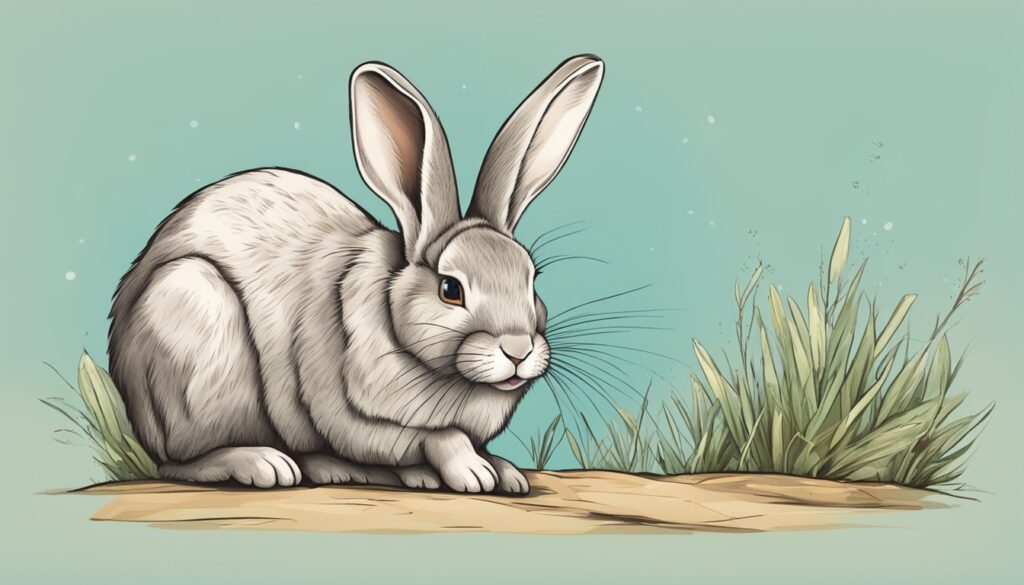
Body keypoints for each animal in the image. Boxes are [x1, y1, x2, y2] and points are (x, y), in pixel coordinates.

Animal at [107, 54, 604, 494]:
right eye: (451, 289)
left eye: (532, 281)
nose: (519, 350)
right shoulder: (362, 415)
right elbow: (439, 436)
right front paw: (474, 473)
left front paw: (505, 472)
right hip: (194, 312)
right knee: (179, 461)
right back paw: (266, 464)